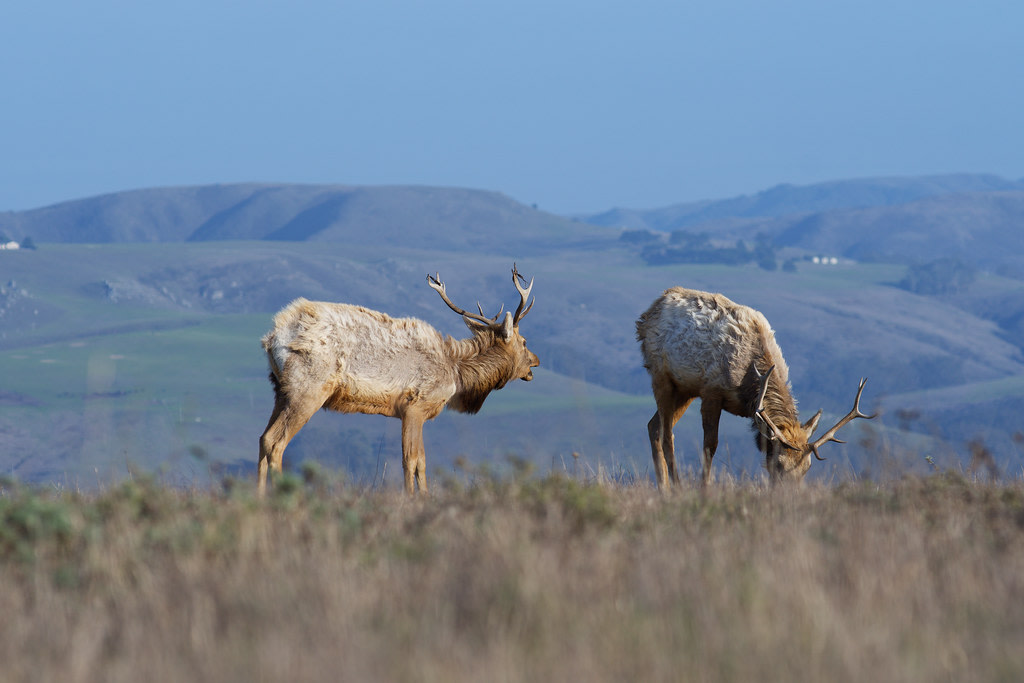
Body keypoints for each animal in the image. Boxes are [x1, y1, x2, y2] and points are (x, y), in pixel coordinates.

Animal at [258, 265, 539, 495]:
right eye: (525, 341)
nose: (535, 363)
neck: (456, 373)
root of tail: (272, 338)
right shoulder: (414, 406)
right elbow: (410, 460)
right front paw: (412, 500)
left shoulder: (412, 413)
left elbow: (421, 461)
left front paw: (425, 497)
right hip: (308, 389)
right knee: (276, 442)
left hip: (280, 391)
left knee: (263, 439)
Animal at [636, 287, 875, 487]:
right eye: (778, 463)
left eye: (807, 467)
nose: (790, 494)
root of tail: (645, 317)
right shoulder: (711, 390)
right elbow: (709, 446)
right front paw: (704, 489)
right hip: (662, 377)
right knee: (667, 435)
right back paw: (675, 488)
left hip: (685, 390)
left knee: (653, 426)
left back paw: (663, 488)